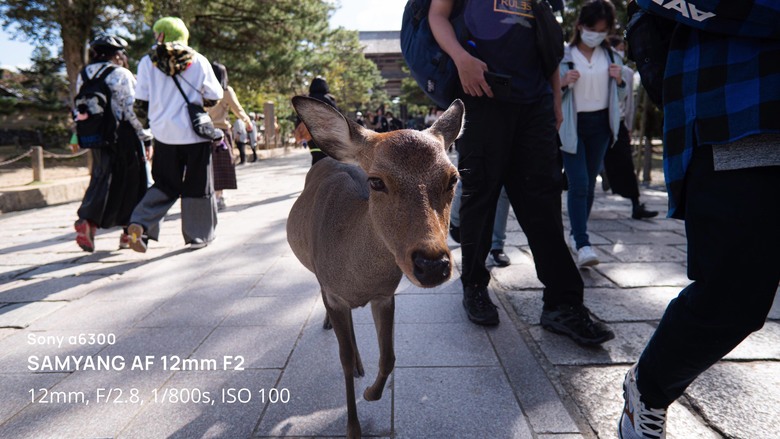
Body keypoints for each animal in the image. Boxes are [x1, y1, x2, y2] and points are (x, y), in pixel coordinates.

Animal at [290, 97, 466, 439]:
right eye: (376, 181)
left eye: (453, 178)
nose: (432, 265)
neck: (357, 278)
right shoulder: (334, 293)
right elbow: (343, 359)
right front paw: (353, 427)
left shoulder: (385, 295)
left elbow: (389, 356)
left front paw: (371, 392)